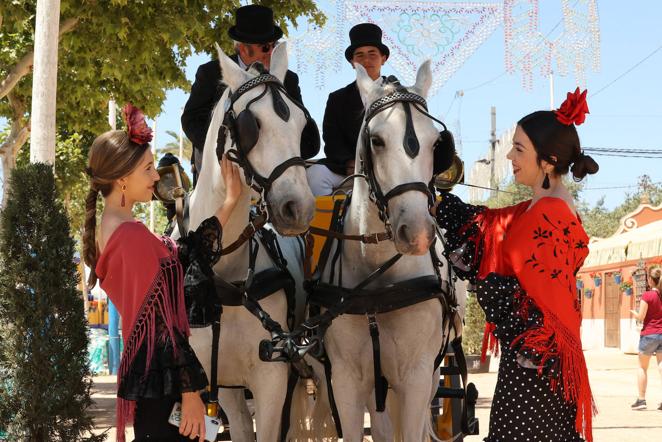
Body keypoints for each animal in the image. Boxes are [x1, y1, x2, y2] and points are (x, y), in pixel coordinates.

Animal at [182, 42, 320, 442]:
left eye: (303, 125)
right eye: (251, 126)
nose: (298, 208)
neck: (221, 266)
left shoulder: (272, 378)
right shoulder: (214, 381)